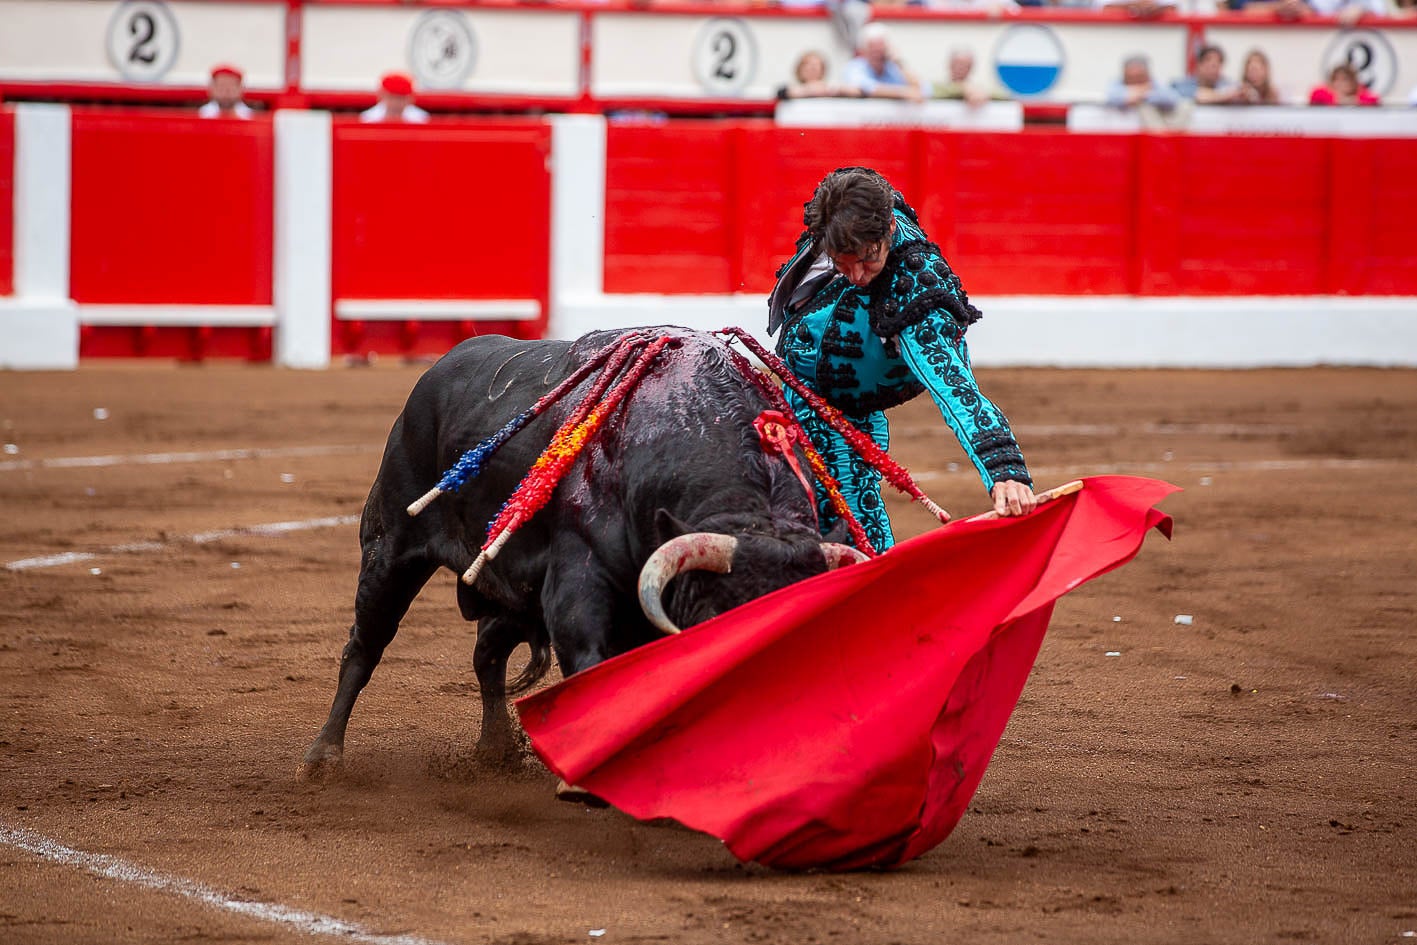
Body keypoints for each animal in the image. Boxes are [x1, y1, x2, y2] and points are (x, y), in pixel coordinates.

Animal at [298, 328, 850, 782]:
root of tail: (438, 369)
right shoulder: (577, 579)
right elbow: (591, 665)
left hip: (509, 591)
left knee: (487, 654)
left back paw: (496, 752)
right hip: (392, 546)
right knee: (366, 643)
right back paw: (323, 759)